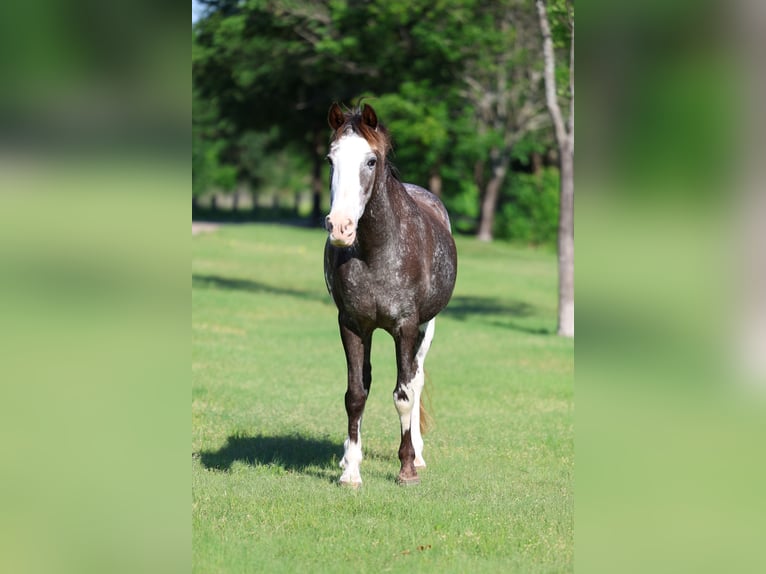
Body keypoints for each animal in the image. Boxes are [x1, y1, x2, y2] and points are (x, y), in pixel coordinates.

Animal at [323, 103, 457, 486]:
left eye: (371, 161)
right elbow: (356, 394)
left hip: (427, 328)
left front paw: (407, 468)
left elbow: (404, 394)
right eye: (330, 160)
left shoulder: (406, 327)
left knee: (416, 378)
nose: (340, 227)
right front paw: (350, 471)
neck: (377, 251)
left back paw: (419, 454)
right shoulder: (352, 325)